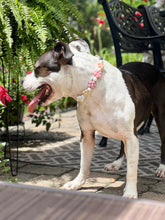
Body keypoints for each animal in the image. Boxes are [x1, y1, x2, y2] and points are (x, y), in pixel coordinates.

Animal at [21, 40, 165, 199]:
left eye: (37, 69)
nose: (21, 80)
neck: (92, 89)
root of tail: (153, 67)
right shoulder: (87, 134)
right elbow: (84, 163)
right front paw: (77, 183)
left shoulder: (132, 137)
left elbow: (132, 169)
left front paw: (130, 192)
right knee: (122, 145)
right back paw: (116, 163)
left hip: (161, 117)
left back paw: (162, 168)